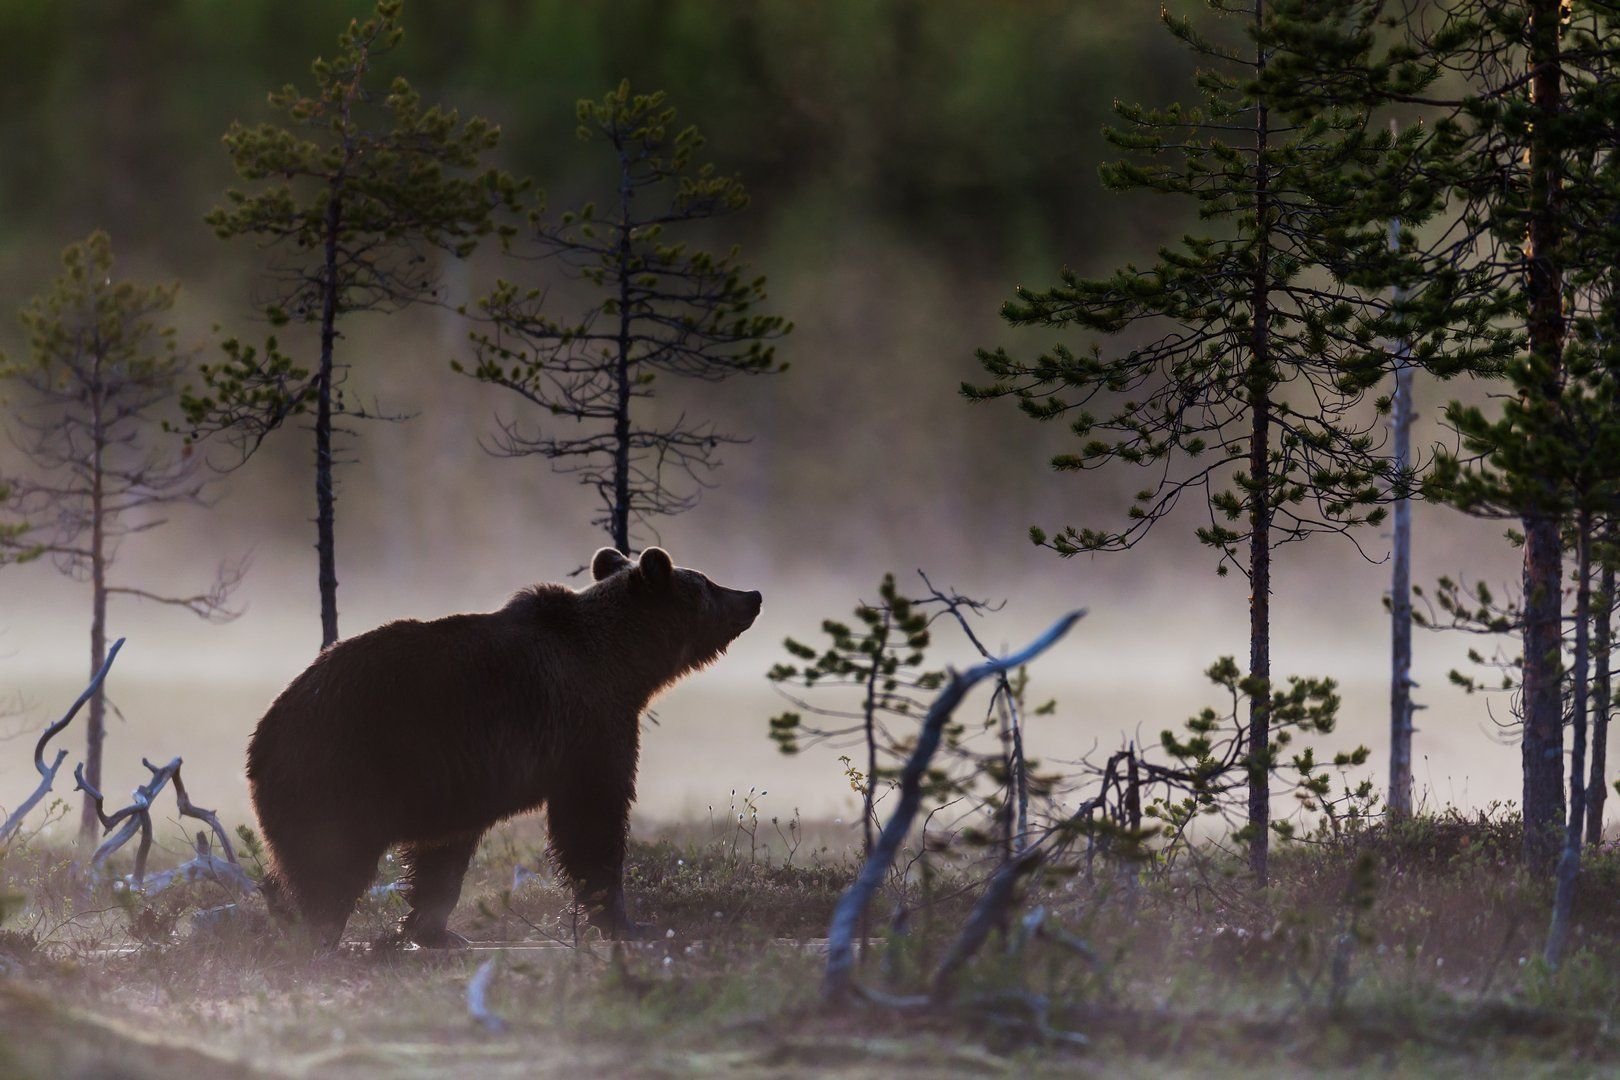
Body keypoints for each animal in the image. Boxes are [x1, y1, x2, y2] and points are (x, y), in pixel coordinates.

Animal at [247, 550, 764, 945]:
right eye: (706, 583)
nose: (753, 595)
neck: (623, 668)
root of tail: (263, 732)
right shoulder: (588, 730)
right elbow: (593, 821)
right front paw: (627, 922)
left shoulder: (460, 779)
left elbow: (443, 853)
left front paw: (435, 930)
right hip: (344, 767)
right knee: (330, 859)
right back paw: (316, 928)